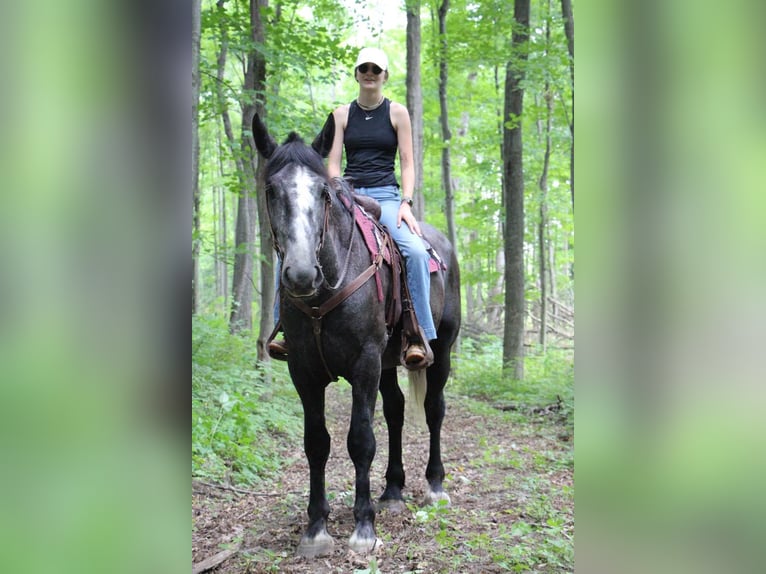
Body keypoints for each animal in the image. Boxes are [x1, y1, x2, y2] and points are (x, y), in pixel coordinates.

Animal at [250, 112, 462, 560]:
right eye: (271, 190)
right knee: (396, 410)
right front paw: (316, 529)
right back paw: (393, 491)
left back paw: (435, 486)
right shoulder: (304, 371)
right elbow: (317, 442)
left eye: (324, 193)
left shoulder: (364, 363)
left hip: (442, 349)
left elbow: (361, 440)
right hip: (388, 361)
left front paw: (364, 528)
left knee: (433, 409)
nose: (301, 275)